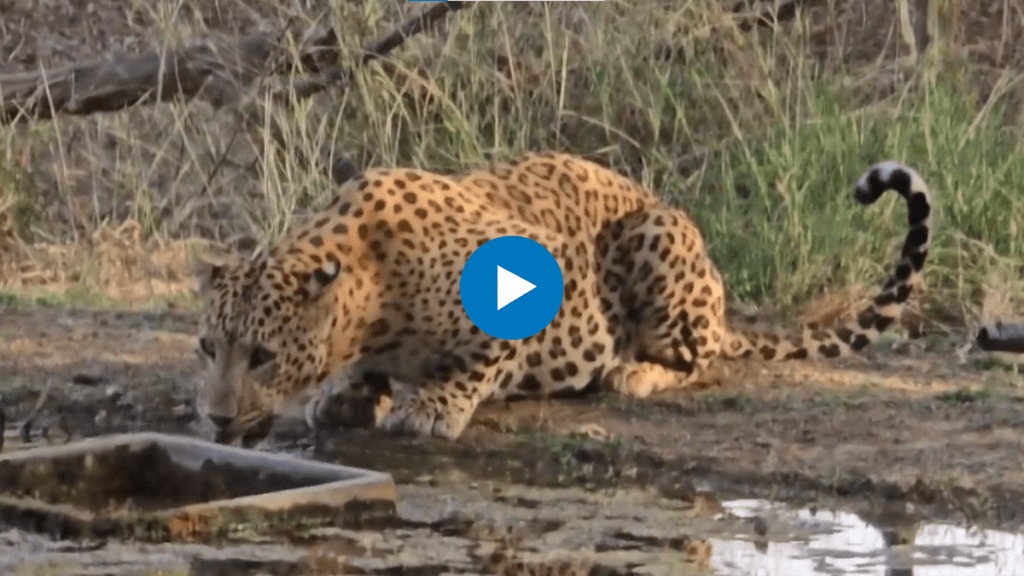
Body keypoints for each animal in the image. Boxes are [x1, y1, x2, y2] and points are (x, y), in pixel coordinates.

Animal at [192, 151, 932, 446]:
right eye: (206, 347)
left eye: (262, 355)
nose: (216, 419)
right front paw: (347, 395)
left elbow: (477, 362)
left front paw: (431, 408)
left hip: (656, 236)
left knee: (703, 361)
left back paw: (634, 372)